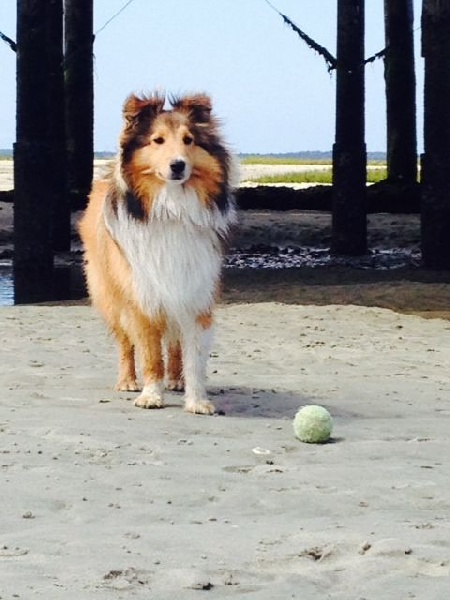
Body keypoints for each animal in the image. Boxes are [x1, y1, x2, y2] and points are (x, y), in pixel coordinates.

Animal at [78, 92, 238, 414]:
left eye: (189, 140)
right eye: (157, 140)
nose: (178, 166)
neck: (172, 206)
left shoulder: (196, 291)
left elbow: (194, 358)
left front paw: (197, 399)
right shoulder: (143, 295)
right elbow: (150, 353)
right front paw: (151, 394)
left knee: (174, 344)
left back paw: (175, 380)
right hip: (111, 296)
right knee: (125, 343)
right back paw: (127, 381)